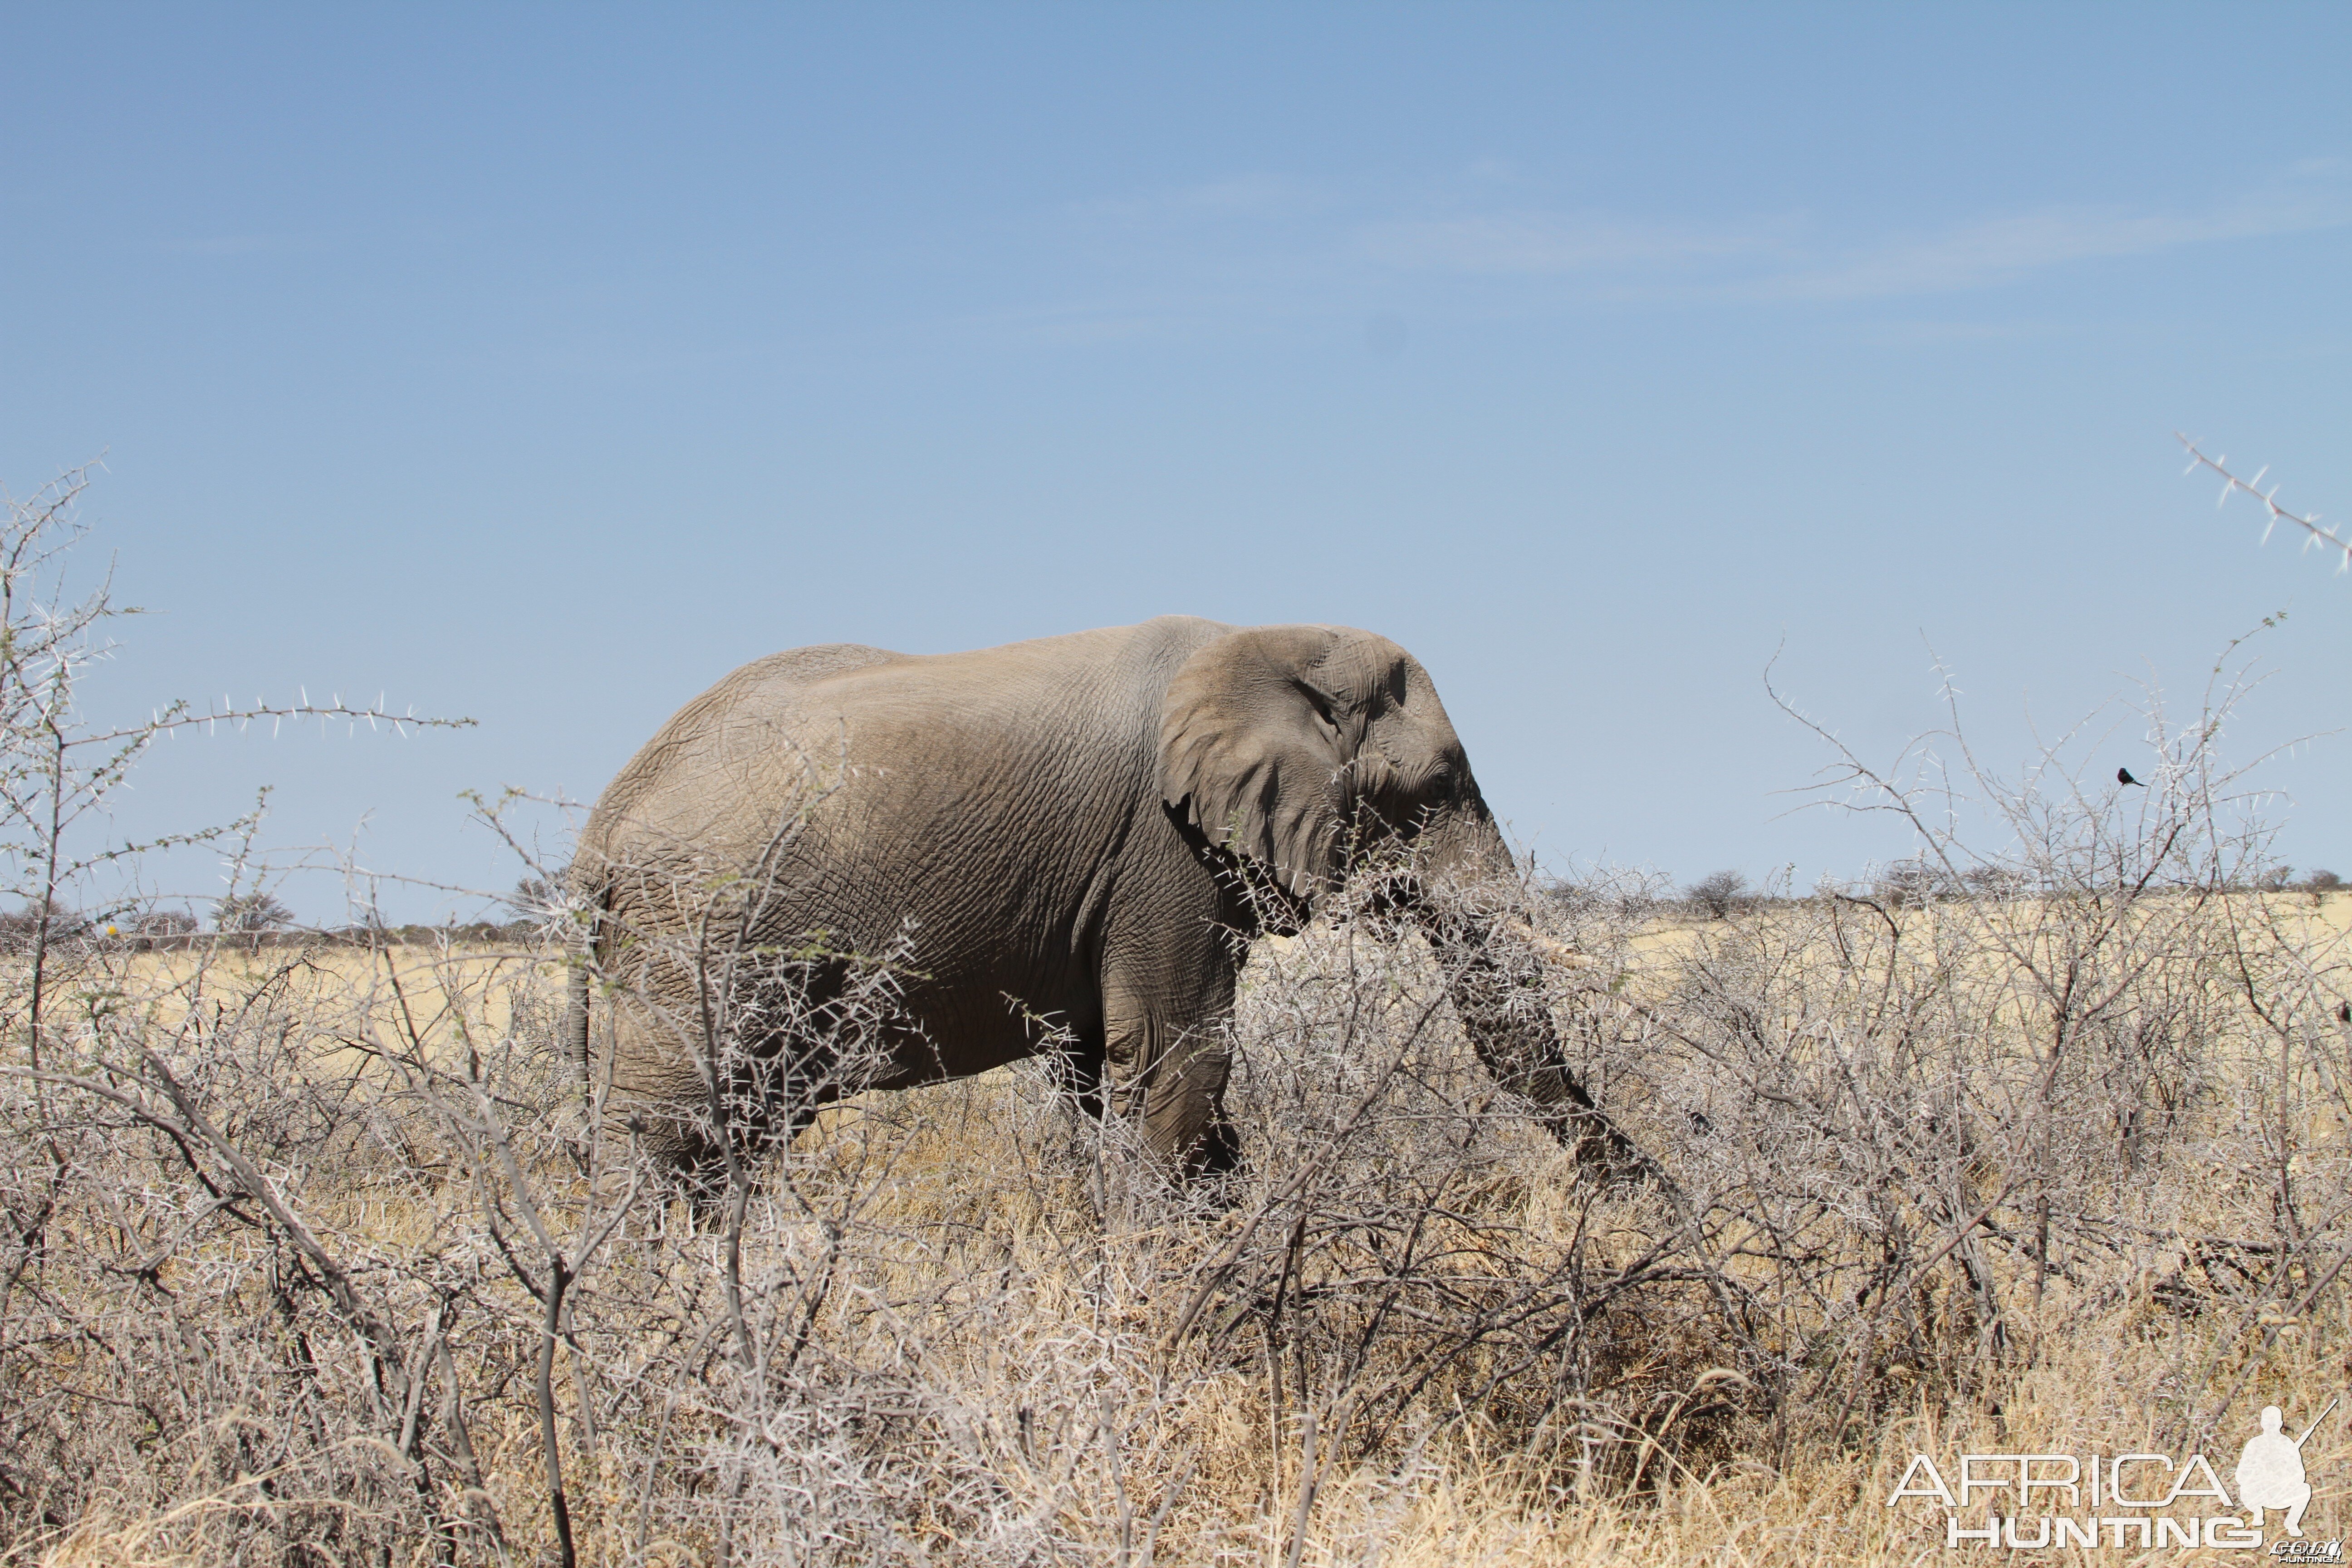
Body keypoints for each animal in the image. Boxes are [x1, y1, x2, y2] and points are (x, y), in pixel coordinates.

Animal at [569, 620, 1637, 1185]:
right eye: (1439, 785)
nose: (1655, 1199)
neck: (1269, 640)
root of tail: (601, 826)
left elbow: (1103, 1071)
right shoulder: (1159, 855)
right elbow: (1174, 1061)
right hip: (700, 928)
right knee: (672, 1134)